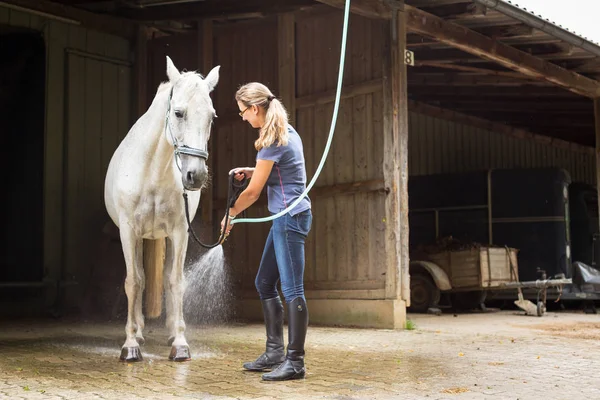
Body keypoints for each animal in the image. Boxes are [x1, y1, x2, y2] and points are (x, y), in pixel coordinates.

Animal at [104, 57, 219, 362]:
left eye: (211, 117)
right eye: (178, 113)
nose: (195, 176)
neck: (153, 171)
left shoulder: (179, 232)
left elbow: (176, 282)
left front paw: (180, 343)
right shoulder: (129, 232)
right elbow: (133, 282)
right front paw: (130, 345)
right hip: (140, 238)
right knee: (141, 280)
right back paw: (140, 333)